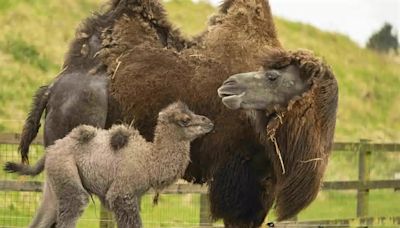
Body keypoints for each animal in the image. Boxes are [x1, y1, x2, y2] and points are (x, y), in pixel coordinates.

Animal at [27, 102, 212, 228]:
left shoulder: (135, 197)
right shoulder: (121, 194)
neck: (149, 162)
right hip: (66, 173)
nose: (209, 121)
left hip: (54, 183)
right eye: (185, 119)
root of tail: (51, 149)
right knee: (76, 203)